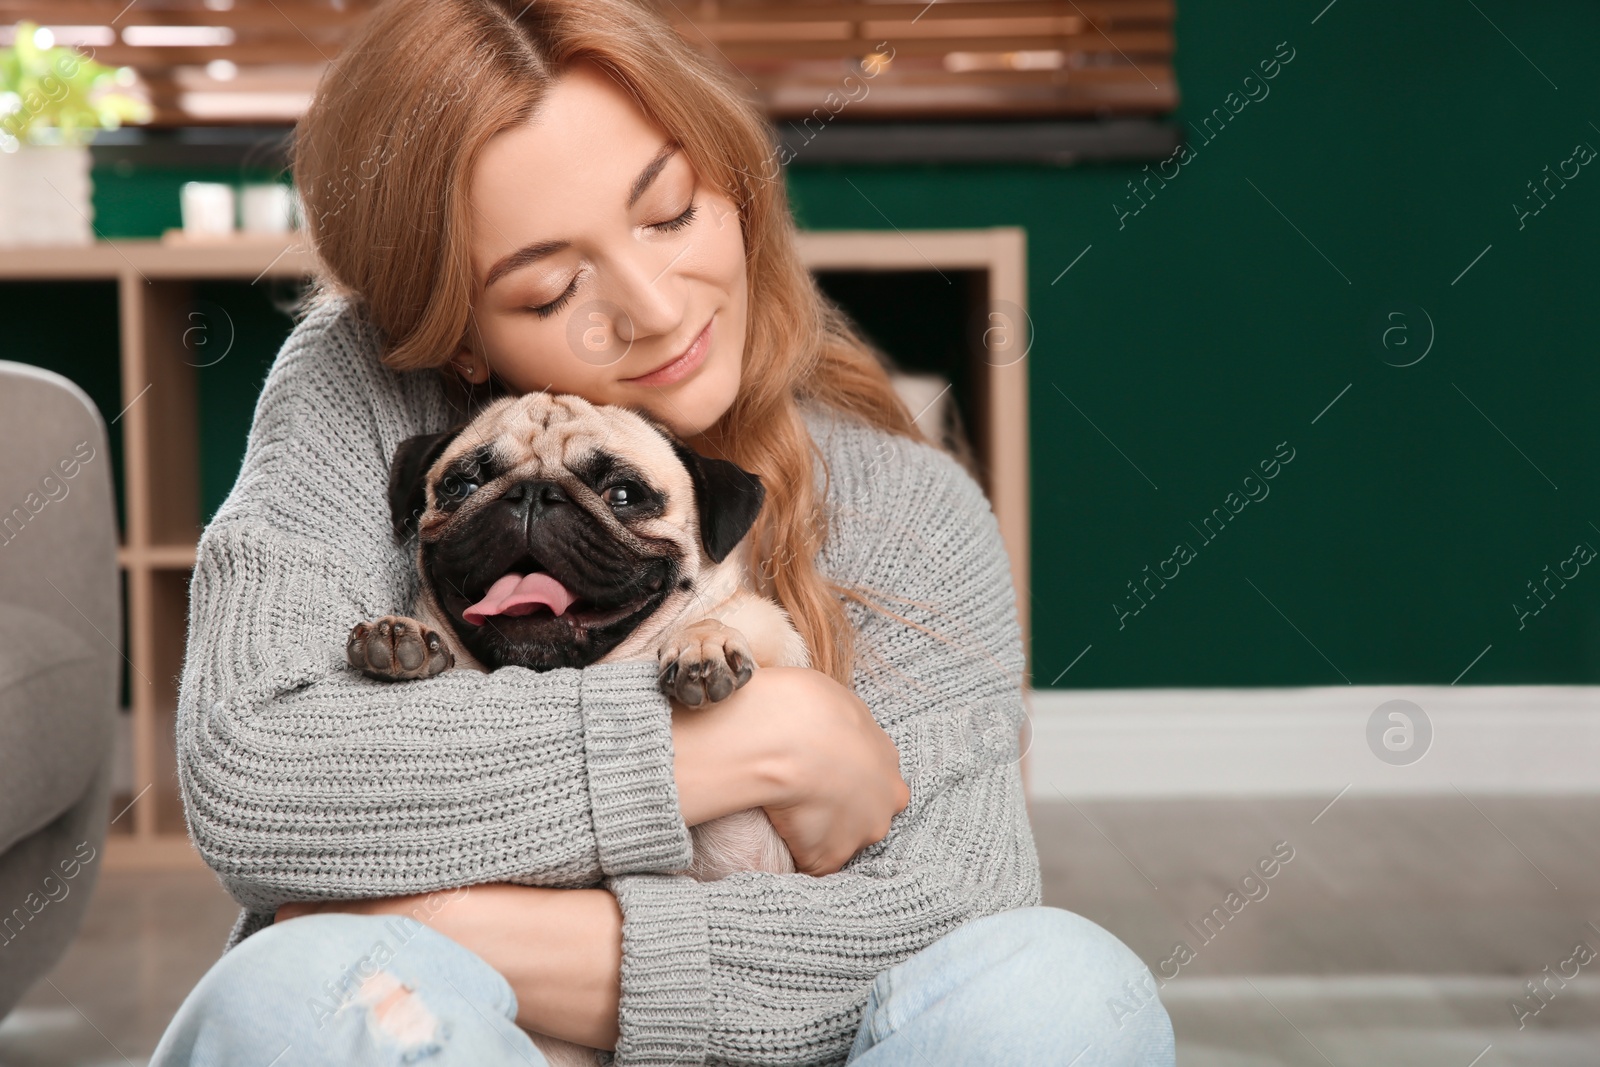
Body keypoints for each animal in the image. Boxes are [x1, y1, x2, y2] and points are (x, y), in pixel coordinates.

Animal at [342, 395, 806, 1067]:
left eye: (623, 494)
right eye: (460, 485)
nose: (534, 493)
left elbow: (727, 626)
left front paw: (702, 642)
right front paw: (401, 634)